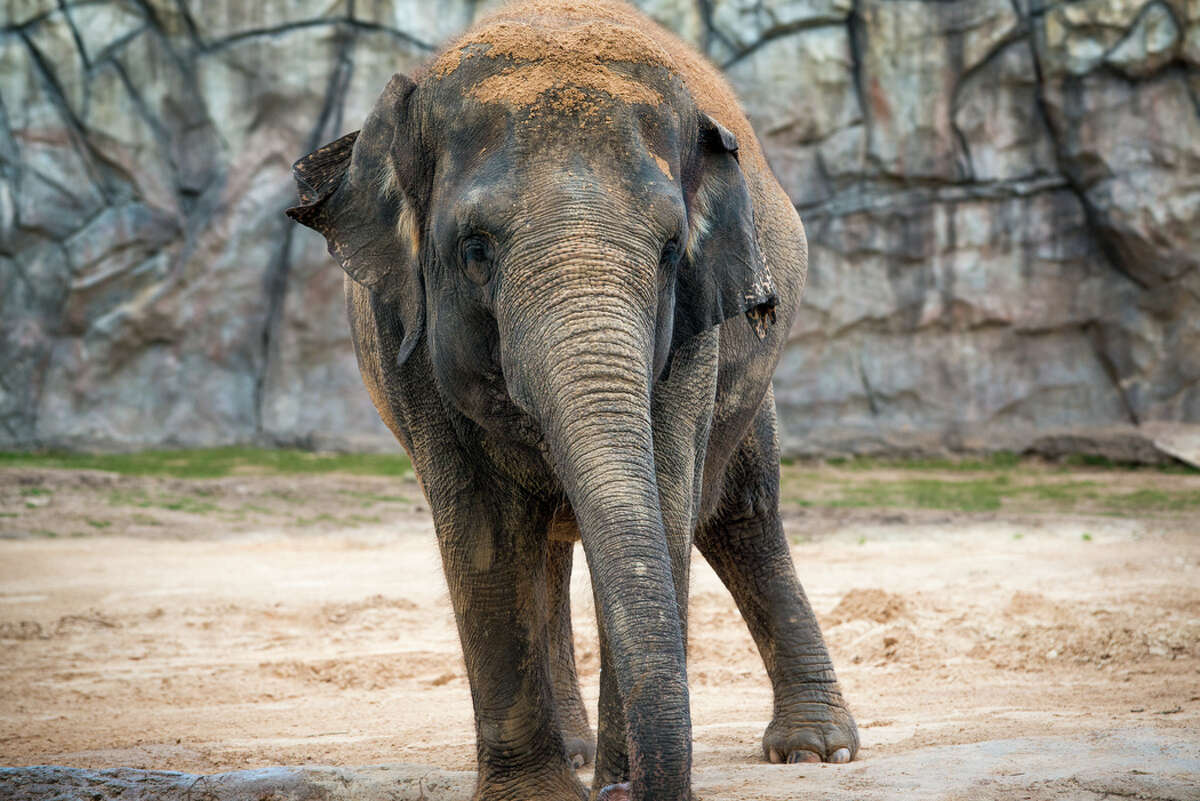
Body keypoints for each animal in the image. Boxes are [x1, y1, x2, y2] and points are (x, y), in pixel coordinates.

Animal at [285, 1, 859, 801]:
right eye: (475, 250)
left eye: (670, 250)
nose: (628, 789)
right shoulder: (402, 328)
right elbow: (481, 527)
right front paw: (540, 795)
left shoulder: (693, 332)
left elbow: (667, 504)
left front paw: (614, 783)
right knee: (547, 539)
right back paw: (583, 753)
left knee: (740, 515)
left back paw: (814, 752)